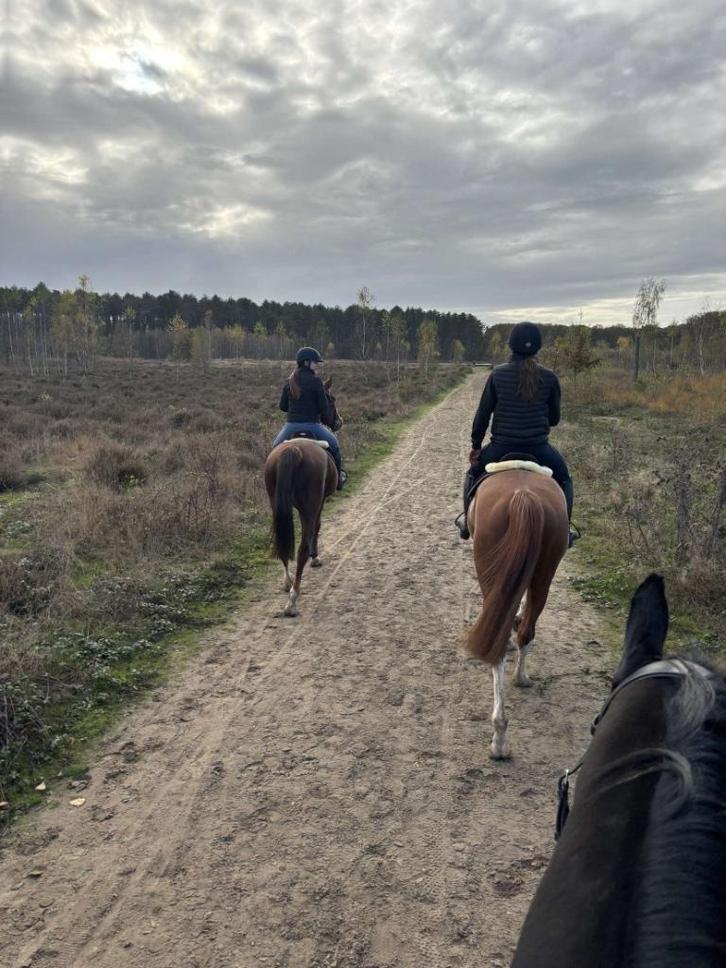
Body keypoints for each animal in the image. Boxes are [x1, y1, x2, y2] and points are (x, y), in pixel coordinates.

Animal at [263, 379, 342, 617]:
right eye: (331, 399)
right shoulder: (319, 503)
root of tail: (294, 449)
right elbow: (317, 527)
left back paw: (288, 583)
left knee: (283, 545)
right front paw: (316, 557)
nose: (339, 422)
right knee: (300, 550)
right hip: (310, 504)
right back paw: (293, 600)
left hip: (277, 505)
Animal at [465, 464, 569, 758]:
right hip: (544, 571)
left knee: (500, 644)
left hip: (489, 569)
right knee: (527, 631)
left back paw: (499, 736)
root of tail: (524, 495)